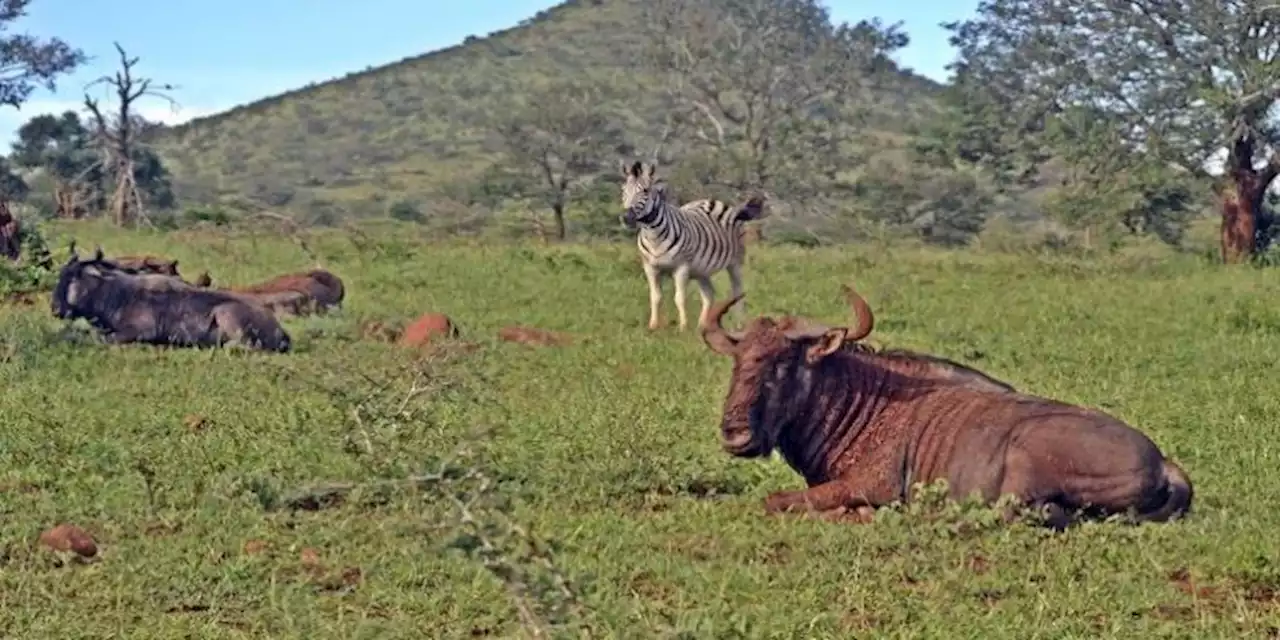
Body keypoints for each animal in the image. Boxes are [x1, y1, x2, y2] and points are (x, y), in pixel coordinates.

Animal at [622, 161, 768, 330]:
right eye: (623, 191)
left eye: (645, 191)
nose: (626, 218)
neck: (654, 237)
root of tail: (711, 200)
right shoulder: (650, 267)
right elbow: (655, 297)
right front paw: (653, 326)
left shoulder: (682, 267)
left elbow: (679, 298)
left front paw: (683, 327)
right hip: (701, 270)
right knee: (709, 294)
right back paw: (703, 326)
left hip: (735, 262)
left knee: (737, 292)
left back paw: (740, 324)